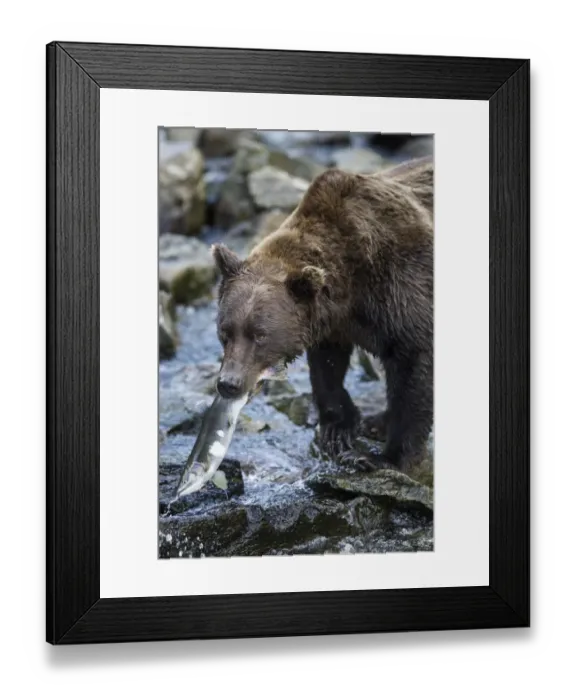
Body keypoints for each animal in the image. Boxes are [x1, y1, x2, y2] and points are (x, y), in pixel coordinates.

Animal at [211, 155, 433, 472]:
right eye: (225, 332)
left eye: (260, 335)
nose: (229, 383)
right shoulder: (332, 320)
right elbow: (327, 365)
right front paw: (338, 430)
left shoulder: (405, 286)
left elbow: (414, 365)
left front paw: (381, 457)